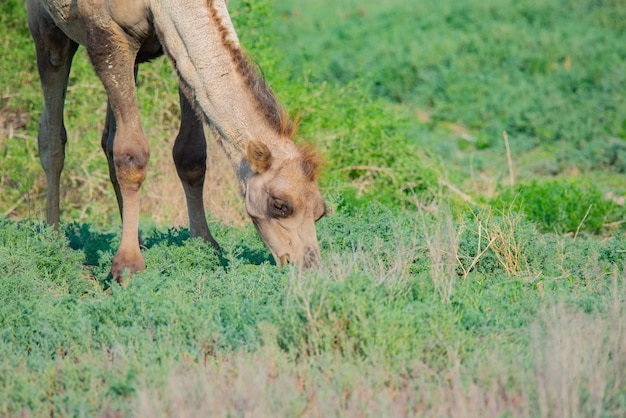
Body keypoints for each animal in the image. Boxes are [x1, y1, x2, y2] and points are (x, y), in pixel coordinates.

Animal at [26, 0, 324, 282]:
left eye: (320, 210)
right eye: (279, 205)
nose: (307, 267)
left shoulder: (173, 45)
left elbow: (190, 154)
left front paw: (205, 246)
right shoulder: (107, 34)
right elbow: (132, 154)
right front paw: (127, 267)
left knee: (108, 139)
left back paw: (139, 242)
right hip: (47, 28)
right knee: (52, 134)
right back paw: (56, 243)